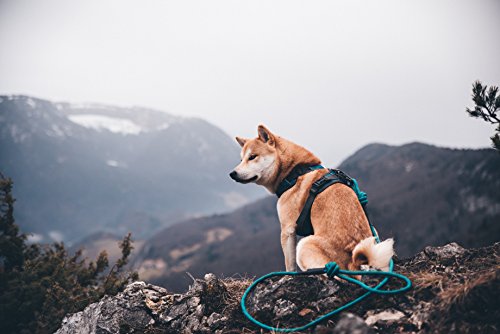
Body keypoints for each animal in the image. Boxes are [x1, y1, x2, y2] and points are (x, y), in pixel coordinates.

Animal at [228, 124, 394, 272]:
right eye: (241, 159)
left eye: (252, 157)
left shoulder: (287, 230)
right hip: (374, 235)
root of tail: (356, 261)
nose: (232, 173)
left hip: (305, 245)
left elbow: (290, 266)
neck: (294, 172)